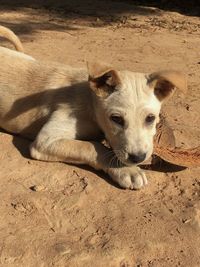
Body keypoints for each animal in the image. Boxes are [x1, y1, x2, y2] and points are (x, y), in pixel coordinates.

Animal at [0, 25, 188, 191]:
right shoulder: (46, 140)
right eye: (116, 119)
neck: (90, 103)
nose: (138, 158)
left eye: (150, 118)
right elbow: (92, 146)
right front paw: (126, 170)